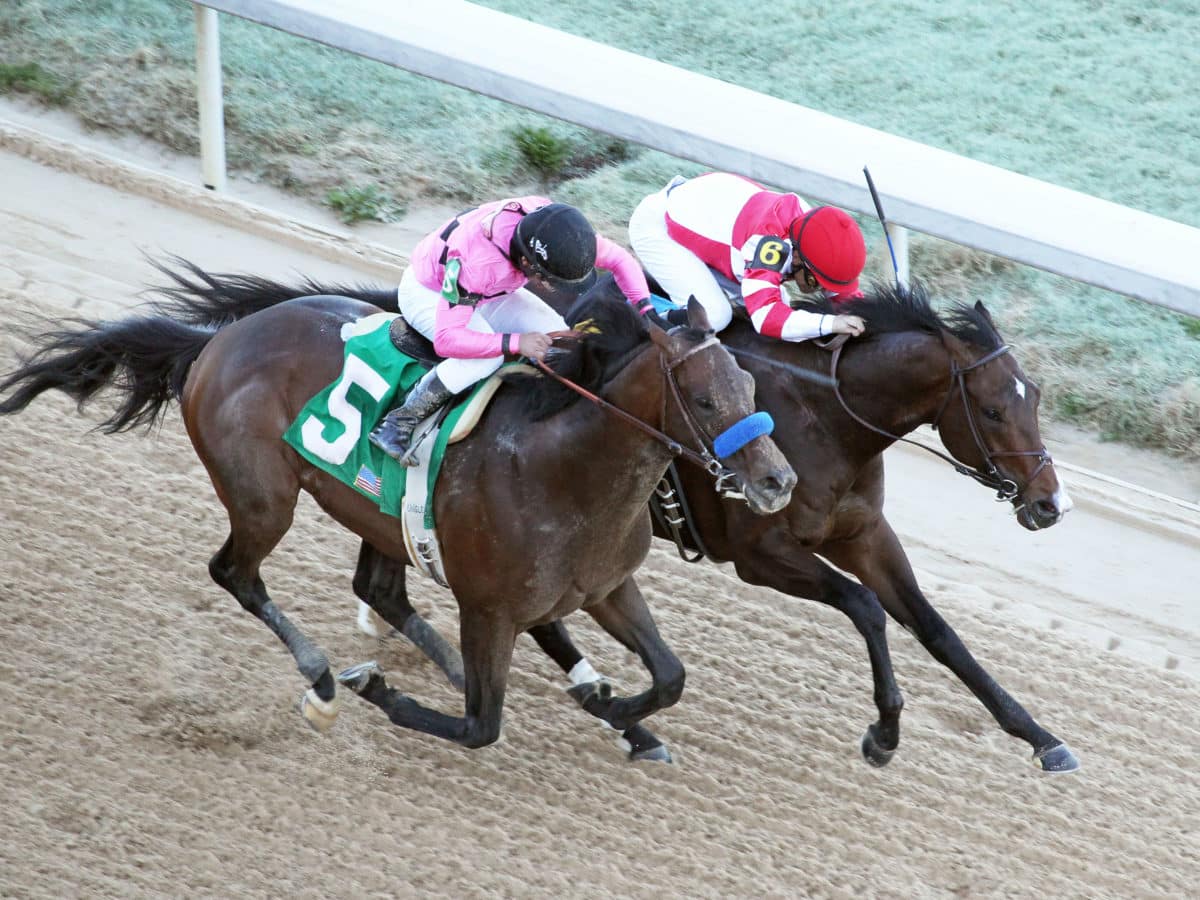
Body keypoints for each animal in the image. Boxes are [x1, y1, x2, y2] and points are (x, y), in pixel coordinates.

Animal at [0, 283, 796, 753]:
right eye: (704, 399)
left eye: (749, 385)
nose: (777, 481)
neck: (565, 469)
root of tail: (218, 340)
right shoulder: (489, 609)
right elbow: (480, 727)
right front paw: (374, 688)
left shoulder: (604, 587)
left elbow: (669, 677)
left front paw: (620, 715)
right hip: (263, 497)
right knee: (236, 573)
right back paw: (324, 681)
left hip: (379, 517)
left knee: (379, 590)